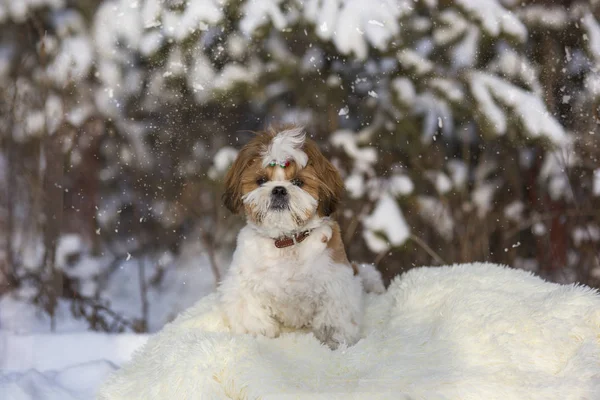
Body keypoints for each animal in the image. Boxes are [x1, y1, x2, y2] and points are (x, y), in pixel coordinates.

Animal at [218, 126, 382, 348]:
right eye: (261, 181)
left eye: (298, 182)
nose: (279, 189)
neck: (286, 242)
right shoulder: (243, 287)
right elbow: (253, 317)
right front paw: (261, 334)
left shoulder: (336, 287)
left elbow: (333, 323)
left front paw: (334, 342)